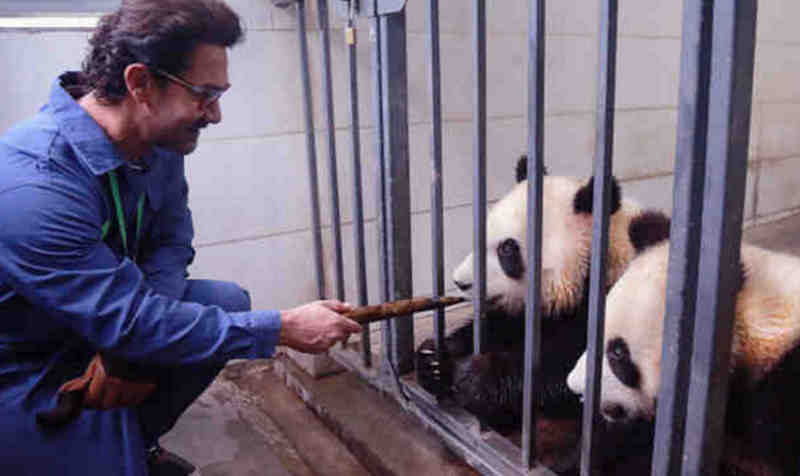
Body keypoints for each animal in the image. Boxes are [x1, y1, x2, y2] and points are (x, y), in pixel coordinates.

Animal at [416, 157, 672, 436]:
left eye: (508, 248)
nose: (460, 282)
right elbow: (500, 326)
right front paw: (435, 360)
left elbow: (566, 372)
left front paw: (474, 378)